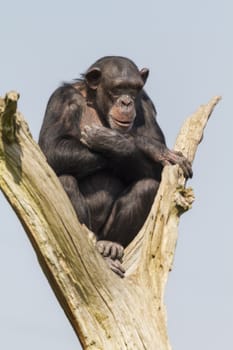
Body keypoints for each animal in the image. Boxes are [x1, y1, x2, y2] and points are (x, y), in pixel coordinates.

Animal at [39, 56, 192, 276]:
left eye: (134, 89)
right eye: (118, 88)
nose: (126, 101)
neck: (95, 103)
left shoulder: (145, 102)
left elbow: (160, 171)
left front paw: (116, 141)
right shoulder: (61, 99)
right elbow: (51, 149)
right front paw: (151, 146)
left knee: (147, 186)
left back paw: (111, 246)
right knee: (65, 180)